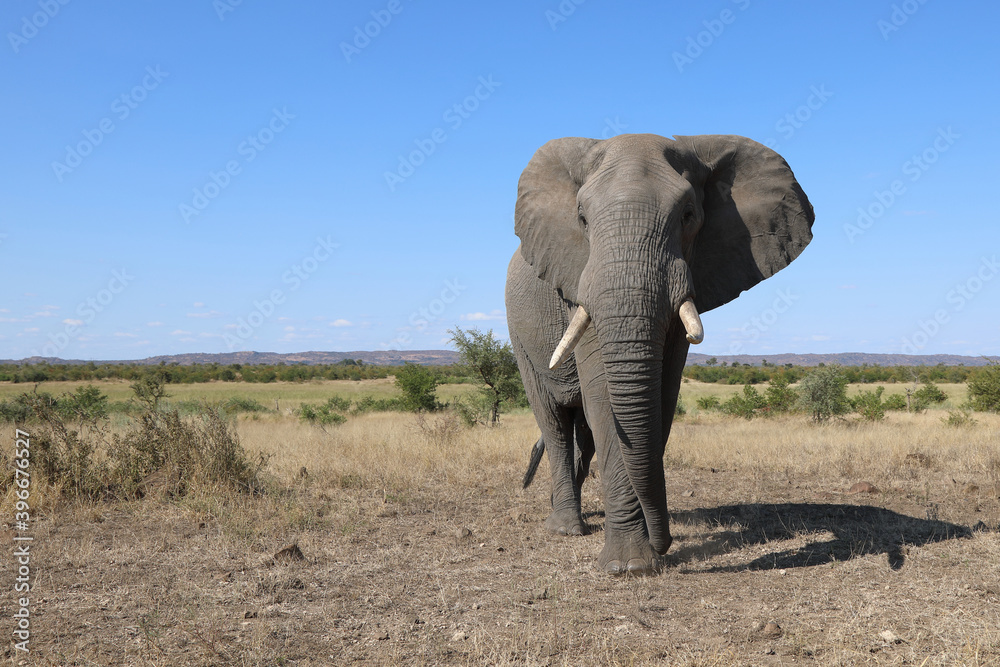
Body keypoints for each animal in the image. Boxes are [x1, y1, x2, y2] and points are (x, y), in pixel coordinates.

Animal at [505, 133, 814, 575]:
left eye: (687, 215)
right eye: (582, 219)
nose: (664, 540)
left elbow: (662, 398)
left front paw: (644, 555)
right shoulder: (579, 281)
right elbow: (604, 398)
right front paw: (629, 565)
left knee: (582, 430)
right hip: (519, 336)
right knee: (555, 421)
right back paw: (565, 528)